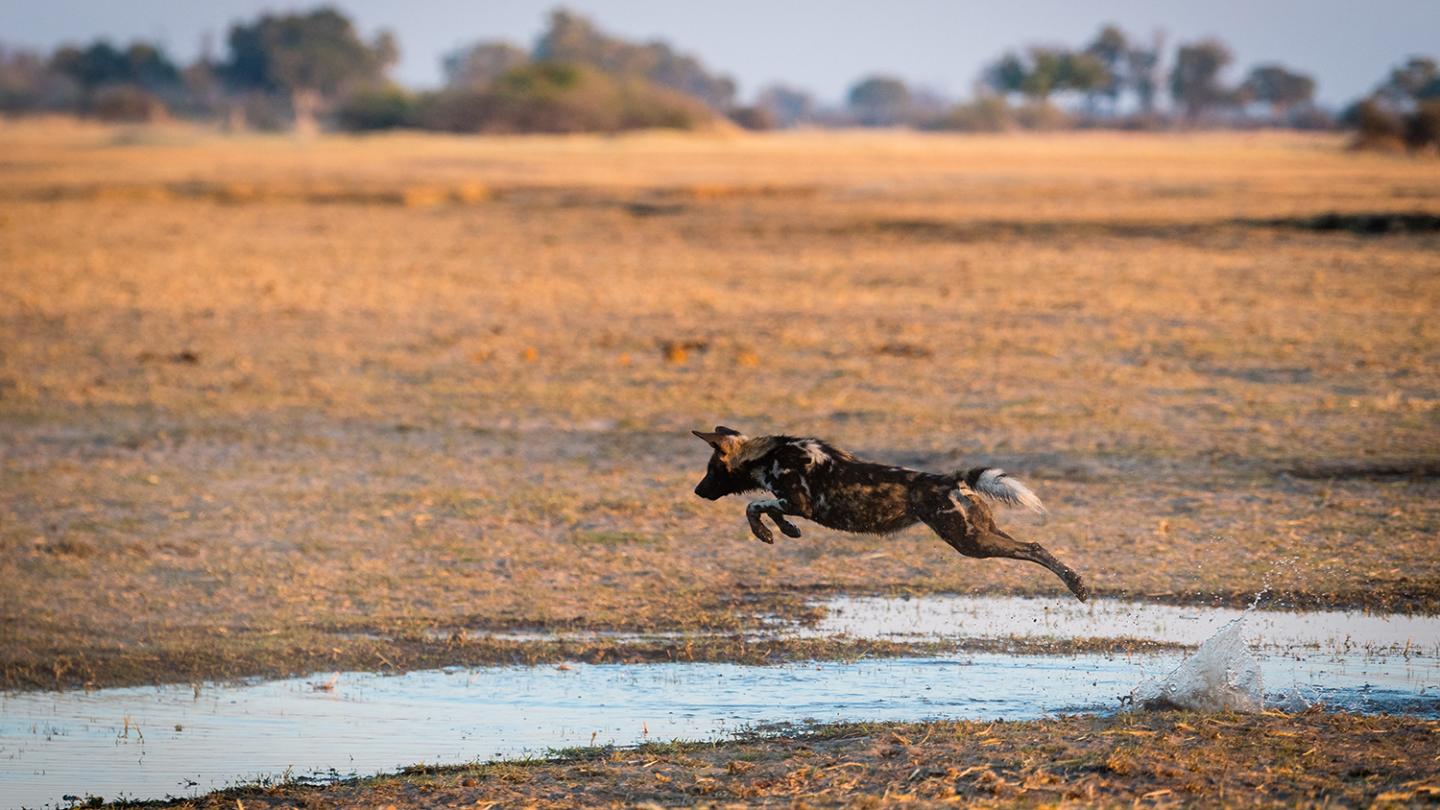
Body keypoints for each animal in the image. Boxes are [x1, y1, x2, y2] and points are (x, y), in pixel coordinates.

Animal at [688, 423, 1088, 599]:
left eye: (710, 469)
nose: (697, 490)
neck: (768, 454)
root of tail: (949, 479)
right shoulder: (793, 505)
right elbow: (768, 510)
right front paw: (785, 531)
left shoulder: (798, 502)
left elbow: (753, 505)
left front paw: (766, 532)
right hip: (981, 533)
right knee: (1036, 546)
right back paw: (1077, 584)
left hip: (971, 543)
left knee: (1032, 549)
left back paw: (1077, 586)